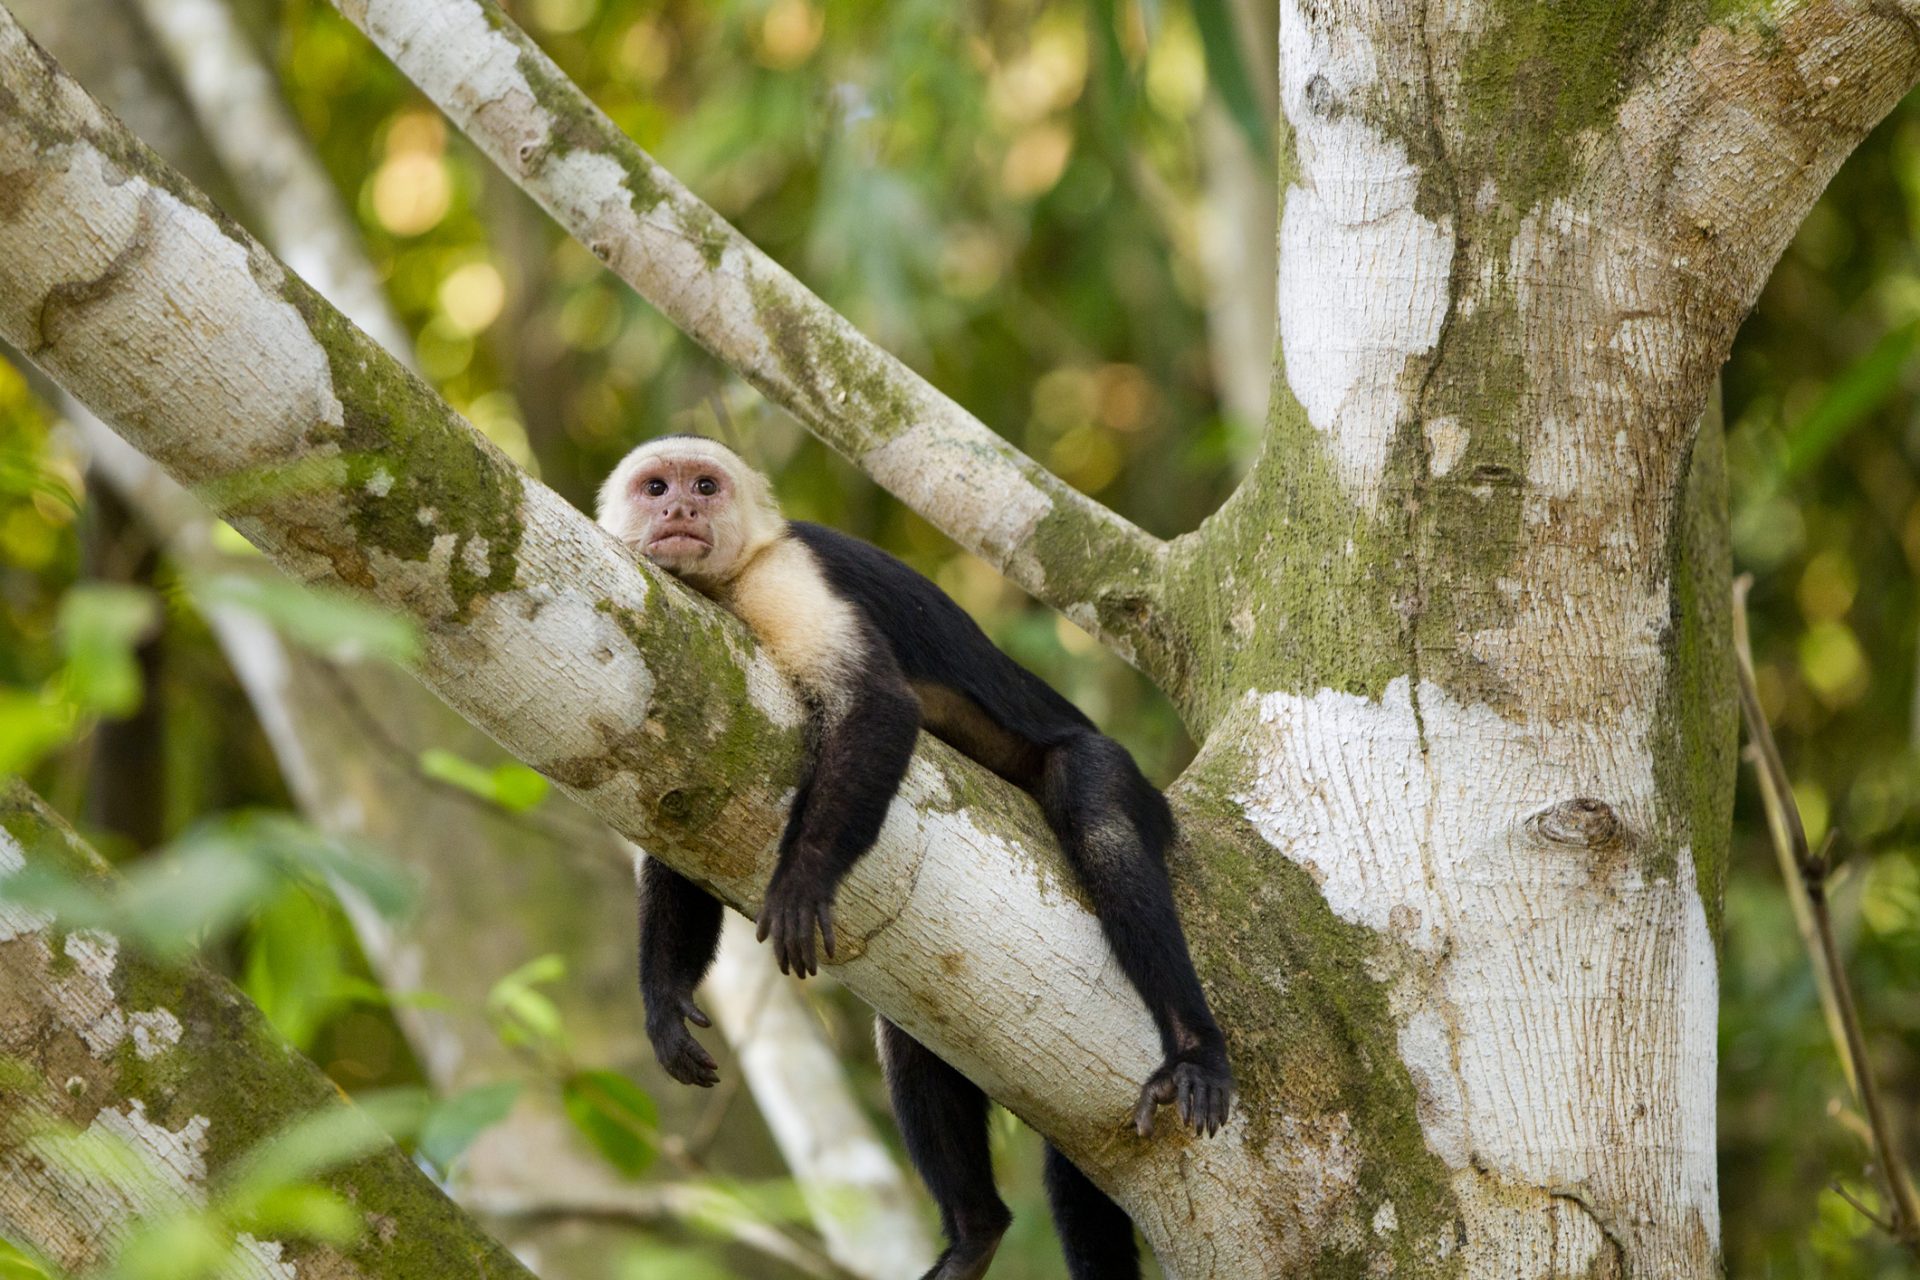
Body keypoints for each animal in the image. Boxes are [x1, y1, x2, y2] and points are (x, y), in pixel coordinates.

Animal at [591, 437, 1236, 1280]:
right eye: (654, 487)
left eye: (704, 485)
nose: (678, 510)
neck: (727, 584)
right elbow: (680, 821)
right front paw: (664, 1001)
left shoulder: (783, 575)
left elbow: (878, 706)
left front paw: (802, 880)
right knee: (914, 1030)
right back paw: (976, 1231)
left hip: (1122, 781)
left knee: (1099, 810)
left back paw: (1195, 1048)